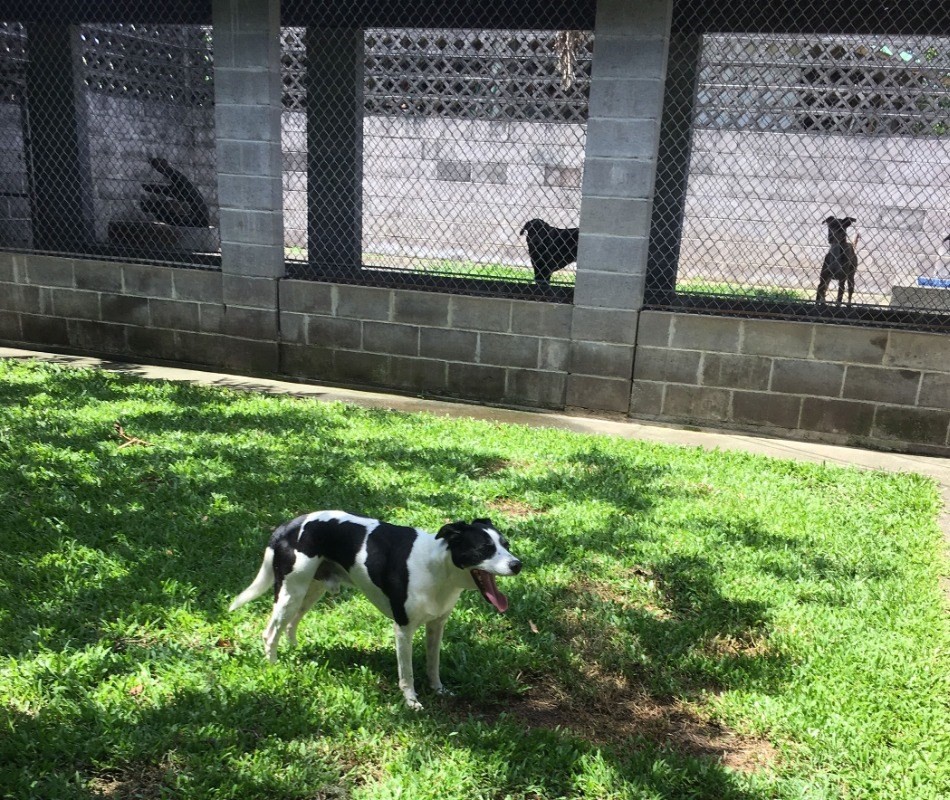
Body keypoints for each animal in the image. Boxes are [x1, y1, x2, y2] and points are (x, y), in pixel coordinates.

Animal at [233, 512, 524, 708]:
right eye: (484, 549)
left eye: (506, 545)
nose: (518, 564)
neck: (438, 569)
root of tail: (287, 526)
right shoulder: (403, 629)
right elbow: (407, 673)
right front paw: (411, 701)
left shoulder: (436, 624)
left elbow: (434, 664)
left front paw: (438, 689)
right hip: (290, 593)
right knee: (270, 632)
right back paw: (274, 668)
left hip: (309, 590)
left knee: (291, 624)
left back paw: (295, 652)